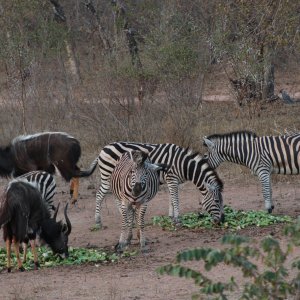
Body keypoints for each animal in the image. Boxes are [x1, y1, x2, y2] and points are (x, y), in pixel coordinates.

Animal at [95, 141, 224, 227]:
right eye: (217, 201)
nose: (223, 220)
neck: (183, 164)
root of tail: (104, 148)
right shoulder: (172, 179)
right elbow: (176, 199)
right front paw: (178, 219)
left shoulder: (173, 181)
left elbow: (172, 199)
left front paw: (171, 217)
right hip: (108, 176)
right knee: (99, 195)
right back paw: (98, 221)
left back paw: (124, 215)